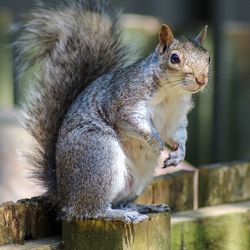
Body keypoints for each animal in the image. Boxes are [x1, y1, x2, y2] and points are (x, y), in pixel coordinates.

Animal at [17, 0, 209, 223]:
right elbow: (135, 123)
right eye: (175, 58)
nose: (201, 79)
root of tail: (64, 196)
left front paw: (179, 153)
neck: (172, 93)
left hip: (136, 178)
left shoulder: (176, 117)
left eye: (208, 57)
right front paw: (156, 142)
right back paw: (119, 214)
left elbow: (177, 135)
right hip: (100, 156)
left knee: (120, 201)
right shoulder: (125, 102)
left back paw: (144, 207)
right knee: (89, 210)